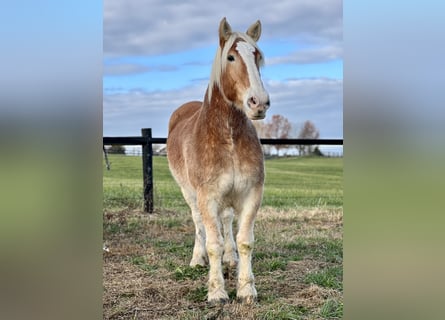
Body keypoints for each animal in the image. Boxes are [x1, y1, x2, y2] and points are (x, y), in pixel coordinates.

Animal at [166, 18, 268, 304]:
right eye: (231, 57)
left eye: (257, 56)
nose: (259, 103)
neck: (228, 137)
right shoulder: (207, 197)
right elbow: (213, 243)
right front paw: (217, 292)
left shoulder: (251, 193)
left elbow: (244, 240)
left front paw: (246, 289)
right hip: (190, 194)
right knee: (199, 225)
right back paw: (197, 259)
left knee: (227, 222)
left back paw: (230, 259)